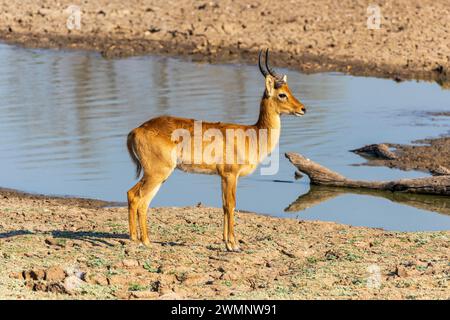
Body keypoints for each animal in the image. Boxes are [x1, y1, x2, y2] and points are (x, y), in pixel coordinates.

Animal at [125, 48, 306, 251]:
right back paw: (142, 240)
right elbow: (231, 204)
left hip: (159, 175)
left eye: (290, 90)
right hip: (156, 173)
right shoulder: (230, 175)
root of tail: (136, 130)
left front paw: (227, 242)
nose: (302, 108)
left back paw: (139, 239)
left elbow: (224, 205)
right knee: (136, 196)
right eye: (282, 94)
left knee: (139, 199)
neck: (252, 135)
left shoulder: (222, 177)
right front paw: (234, 244)